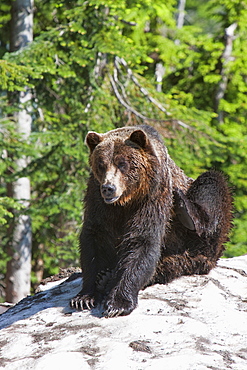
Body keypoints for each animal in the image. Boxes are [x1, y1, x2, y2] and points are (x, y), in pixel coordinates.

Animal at [70, 125, 233, 316]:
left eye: (122, 163)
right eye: (101, 164)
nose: (109, 188)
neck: (127, 199)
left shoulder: (153, 193)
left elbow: (143, 239)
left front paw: (118, 303)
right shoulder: (98, 200)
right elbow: (94, 238)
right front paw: (84, 297)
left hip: (197, 234)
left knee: (213, 183)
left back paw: (187, 211)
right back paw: (106, 277)